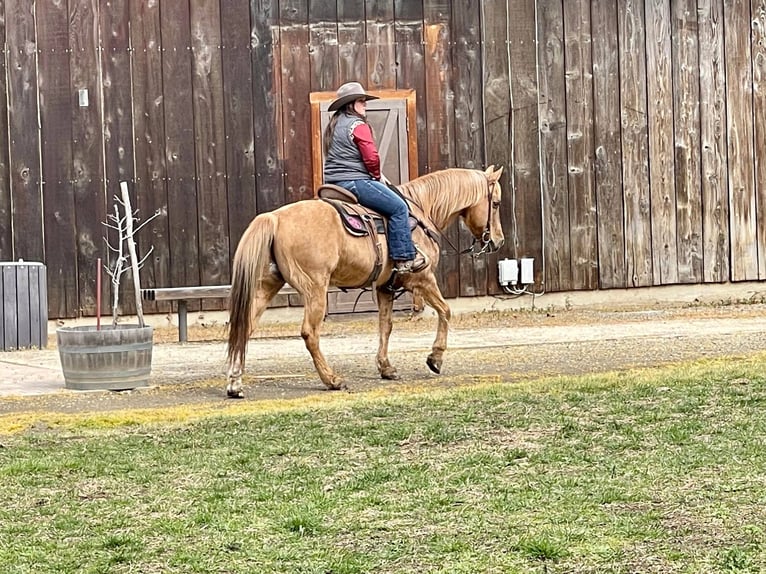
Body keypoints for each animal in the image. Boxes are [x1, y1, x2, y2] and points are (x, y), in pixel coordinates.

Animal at [225, 164, 508, 398]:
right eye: (495, 203)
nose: (498, 241)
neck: (421, 212)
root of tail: (274, 218)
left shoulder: (385, 288)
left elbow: (385, 326)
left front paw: (386, 368)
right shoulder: (422, 279)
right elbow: (446, 311)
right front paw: (435, 358)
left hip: (267, 285)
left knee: (245, 326)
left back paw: (235, 384)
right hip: (315, 289)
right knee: (309, 333)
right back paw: (332, 380)